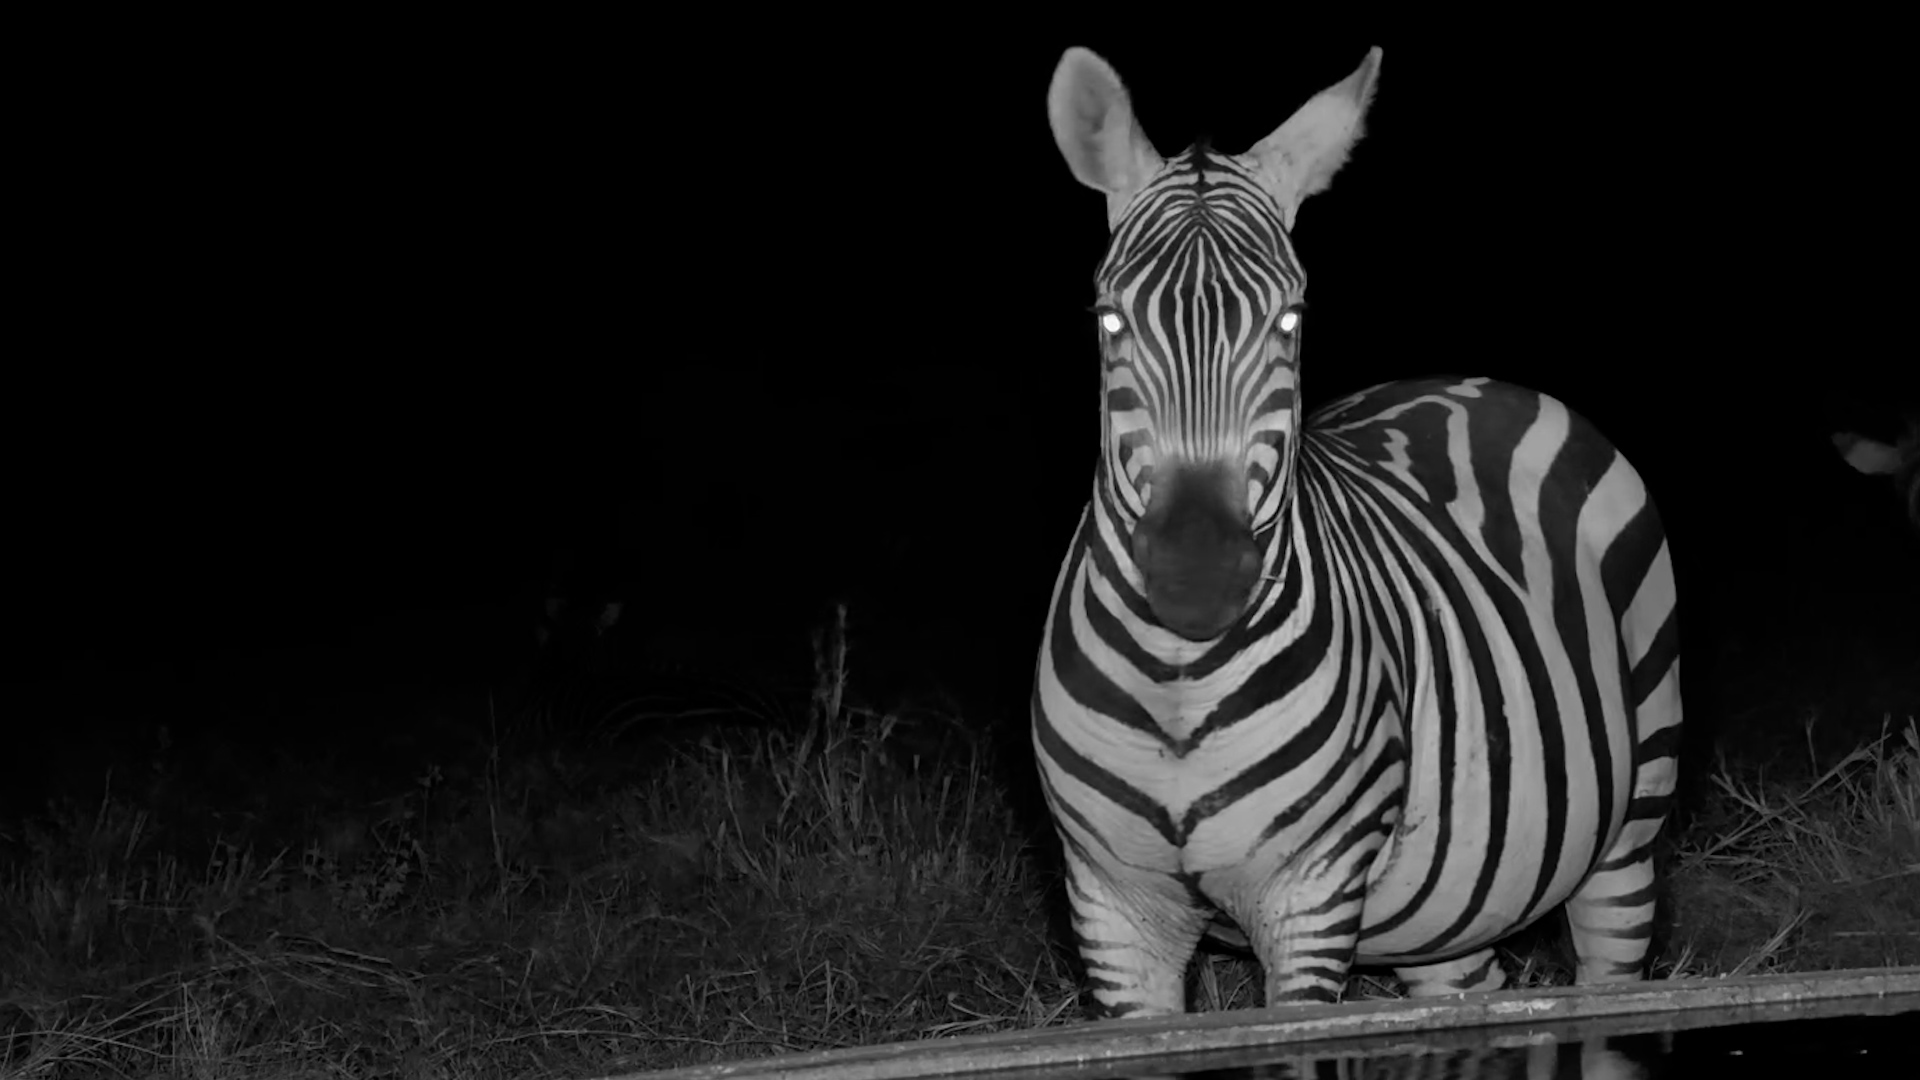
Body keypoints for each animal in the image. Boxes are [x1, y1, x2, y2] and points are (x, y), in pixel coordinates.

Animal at [1033, 46, 1684, 1018]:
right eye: (1108, 319)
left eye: (1292, 320)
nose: (1197, 580)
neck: (1176, 681)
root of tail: (1467, 379)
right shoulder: (1113, 907)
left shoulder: (1309, 892)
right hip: (1455, 907)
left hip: (1633, 817)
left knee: (1615, 961)